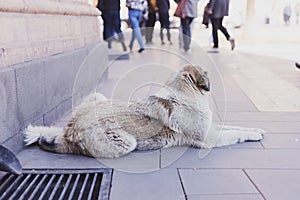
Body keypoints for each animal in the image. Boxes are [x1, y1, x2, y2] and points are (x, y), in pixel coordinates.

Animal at [25, 65, 264, 158]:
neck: (186, 96)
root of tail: (70, 130)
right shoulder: (209, 138)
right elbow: (235, 133)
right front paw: (252, 135)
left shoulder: (212, 128)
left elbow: (234, 126)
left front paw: (256, 130)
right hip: (123, 142)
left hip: (97, 97)